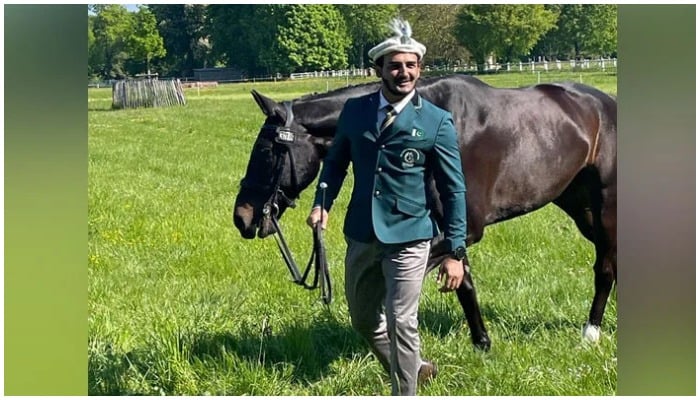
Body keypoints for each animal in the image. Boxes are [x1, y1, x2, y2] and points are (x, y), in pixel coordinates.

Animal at [232, 73, 616, 348]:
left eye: (265, 152)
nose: (242, 217)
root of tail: (605, 103)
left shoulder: (459, 230)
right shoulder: (450, 229)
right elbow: (465, 284)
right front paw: (482, 343)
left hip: (605, 208)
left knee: (605, 269)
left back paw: (591, 333)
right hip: (579, 207)